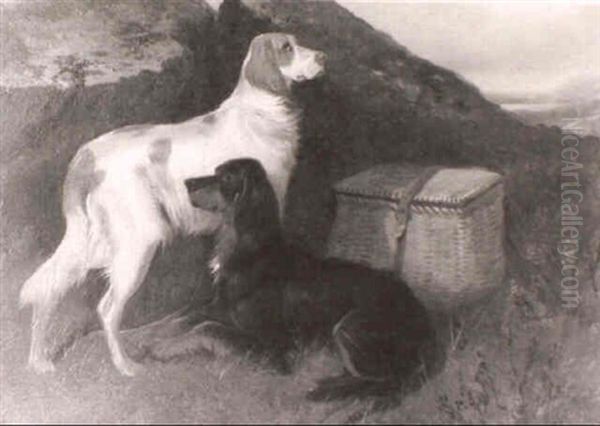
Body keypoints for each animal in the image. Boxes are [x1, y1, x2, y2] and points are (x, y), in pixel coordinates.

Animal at [139, 157, 434, 400]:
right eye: (215, 171)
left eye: (226, 177)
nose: (187, 182)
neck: (248, 248)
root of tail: (425, 317)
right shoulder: (215, 306)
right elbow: (179, 317)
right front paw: (144, 336)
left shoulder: (275, 347)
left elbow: (207, 328)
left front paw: (162, 347)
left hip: (349, 326)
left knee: (385, 381)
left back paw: (323, 387)